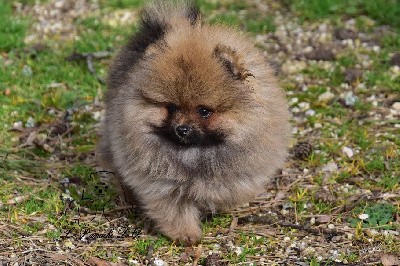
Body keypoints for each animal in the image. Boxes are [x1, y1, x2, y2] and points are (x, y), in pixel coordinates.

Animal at [97, 0, 290, 245]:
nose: (182, 129)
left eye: (204, 111)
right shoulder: (163, 185)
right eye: (171, 108)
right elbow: (174, 209)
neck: (196, 154)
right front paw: (186, 234)